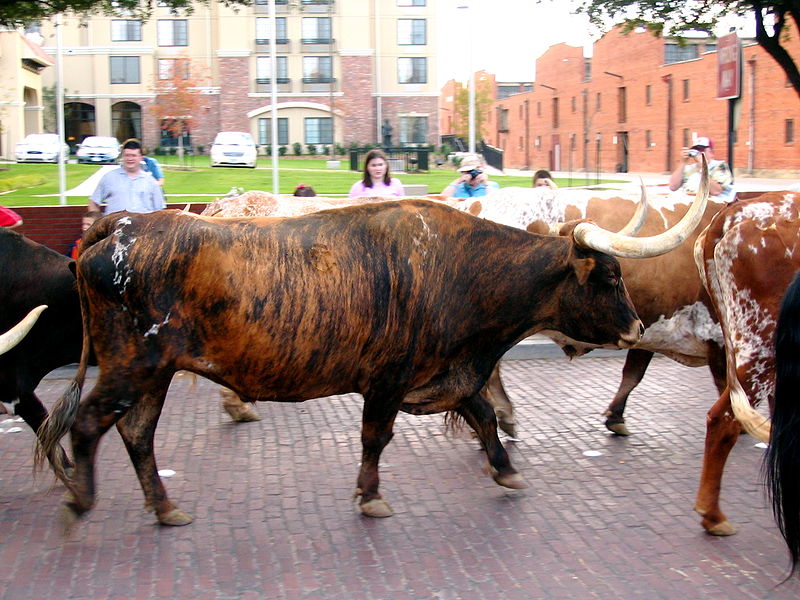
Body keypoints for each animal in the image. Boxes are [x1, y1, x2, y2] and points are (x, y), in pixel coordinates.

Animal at [34, 196, 704, 524]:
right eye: (610, 277)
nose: (636, 327)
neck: (459, 269)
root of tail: (124, 224)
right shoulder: (388, 379)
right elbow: (375, 439)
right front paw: (370, 495)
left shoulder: (453, 374)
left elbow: (486, 417)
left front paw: (506, 470)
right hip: (131, 365)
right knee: (92, 424)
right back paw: (79, 501)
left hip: (153, 373)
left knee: (136, 434)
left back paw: (165, 508)